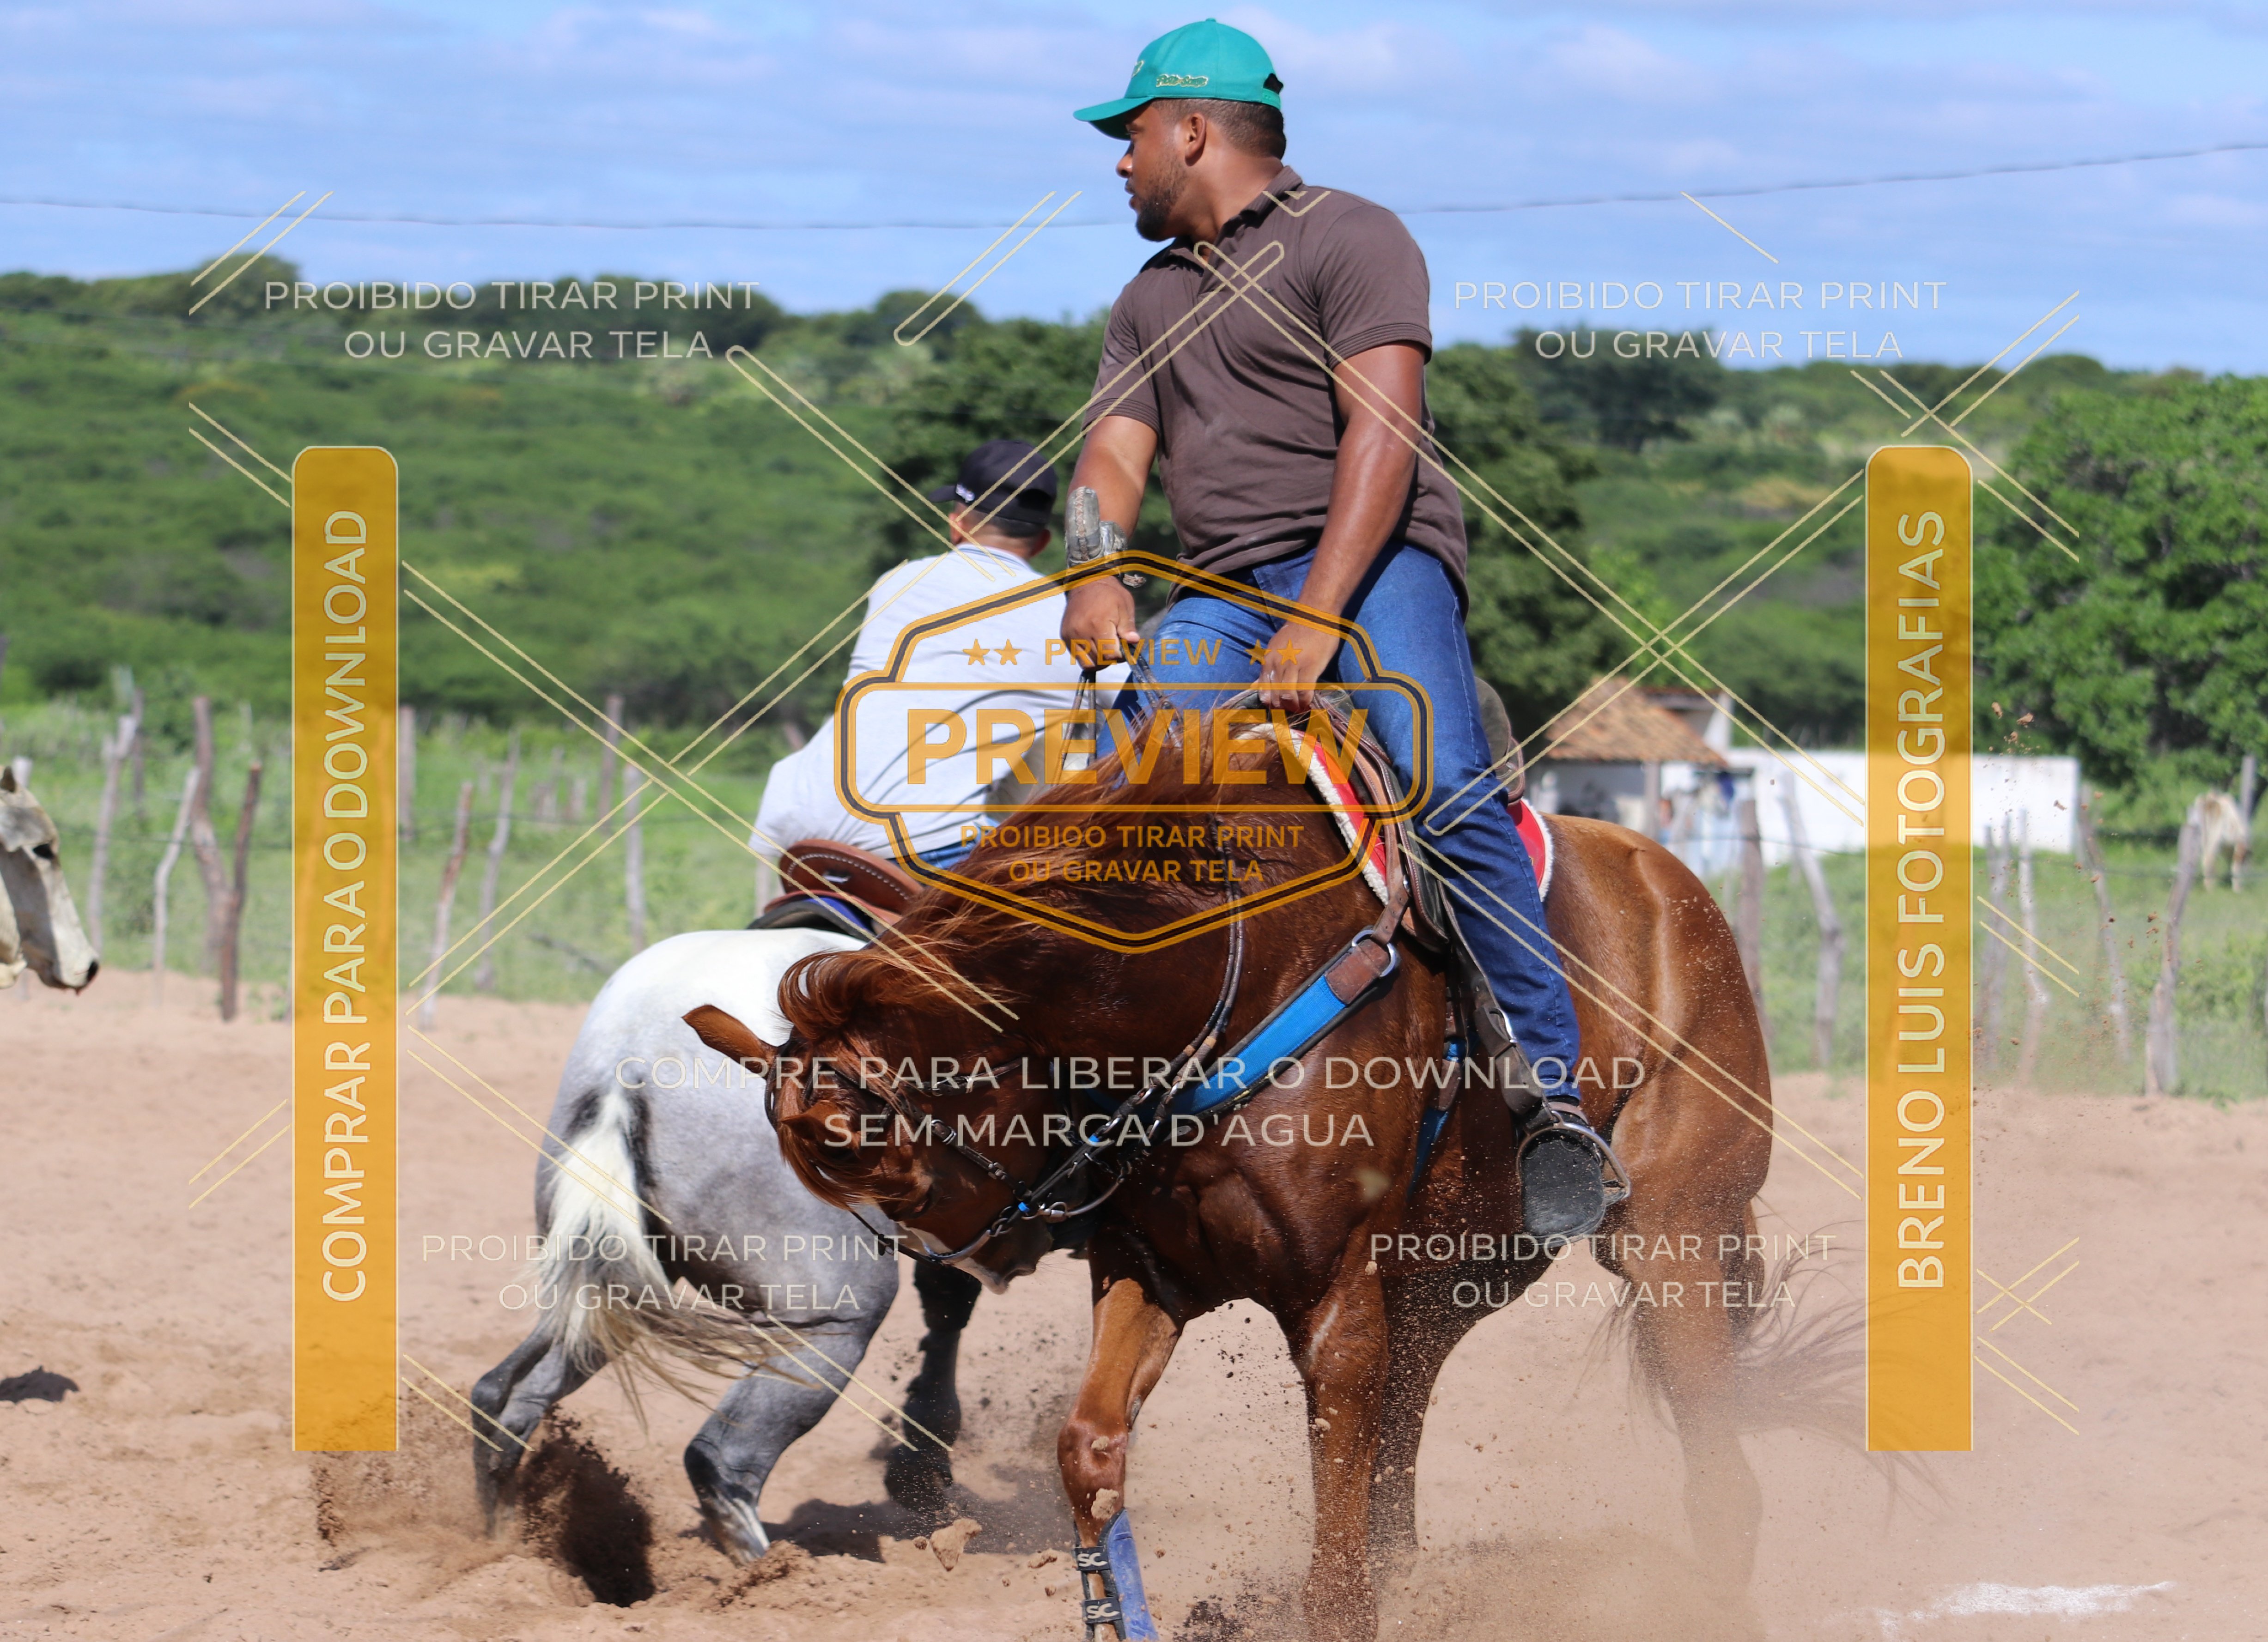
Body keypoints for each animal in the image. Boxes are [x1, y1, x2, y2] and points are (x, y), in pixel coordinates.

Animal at [468, 927, 983, 1560]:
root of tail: (631, 1054)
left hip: (611, 1289)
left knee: (504, 1396)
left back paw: (501, 1546)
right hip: (832, 1320)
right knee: (719, 1458)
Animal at [685, 709, 1816, 1642]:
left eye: (902, 1172)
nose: (984, 1259)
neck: (1222, 988)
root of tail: (1673, 891)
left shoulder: (1335, 1305)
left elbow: (1337, 1554)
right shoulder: (1153, 1270)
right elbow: (1088, 1447)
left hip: (1671, 1240)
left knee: (1718, 1469)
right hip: (1449, 1281)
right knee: (1406, 1455)